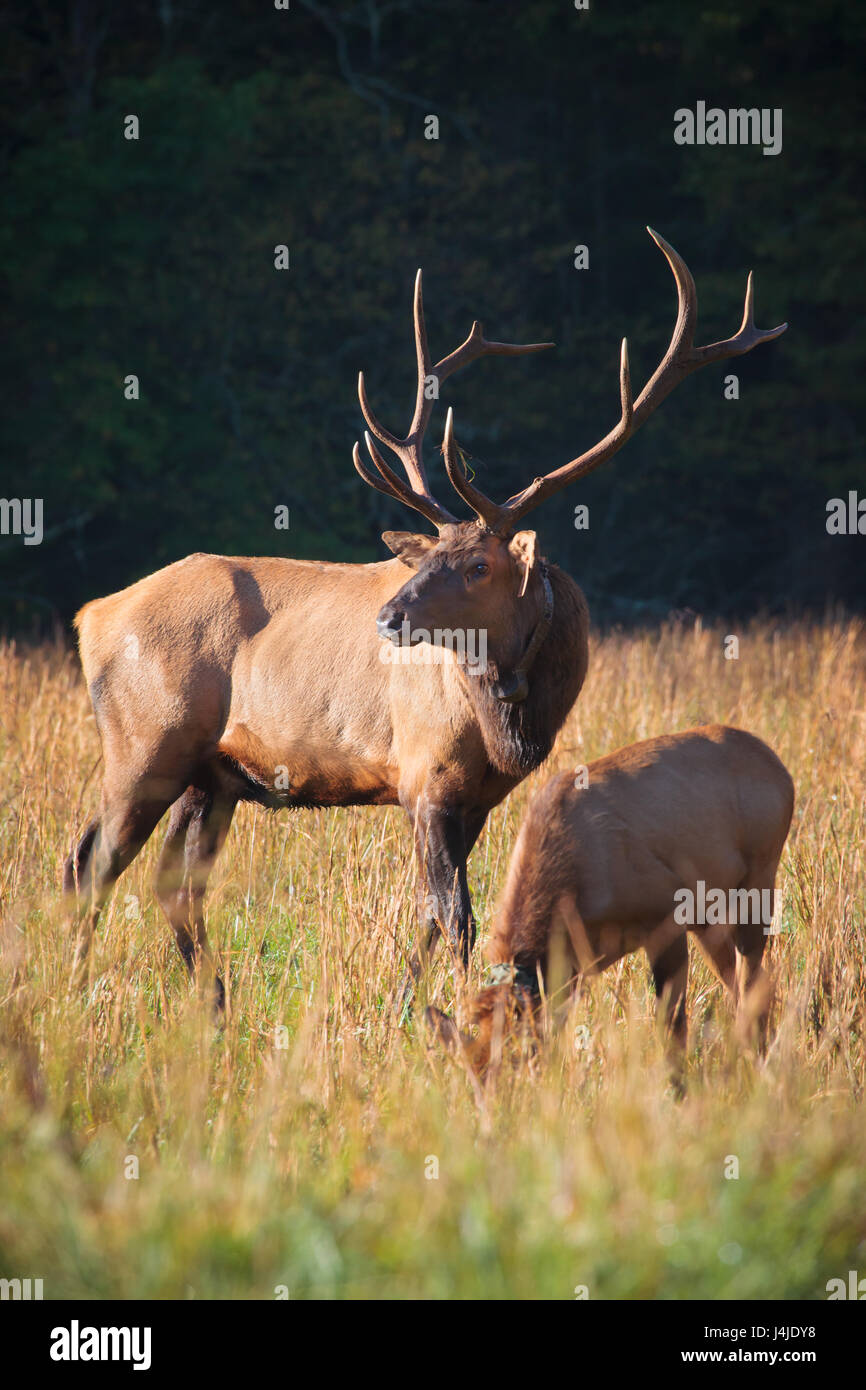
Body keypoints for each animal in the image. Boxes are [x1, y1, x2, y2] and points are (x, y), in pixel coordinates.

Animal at [64, 230, 789, 1011]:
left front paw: (404, 1004)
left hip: (213, 772)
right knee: (90, 861)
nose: (388, 616)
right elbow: (454, 914)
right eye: (430, 557)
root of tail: (91, 615)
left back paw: (215, 1003)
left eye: (477, 566)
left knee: (174, 881)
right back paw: (73, 988)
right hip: (145, 741)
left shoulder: (478, 797)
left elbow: (429, 915)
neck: (508, 724)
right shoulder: (424, 773)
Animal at [425, 722, 795, 1078]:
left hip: (757, 890)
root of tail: (778, 767)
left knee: (752, 984)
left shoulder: (666, 923)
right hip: (709, 922)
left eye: (514, 1063)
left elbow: (671, 1027)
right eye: (472, 1077)